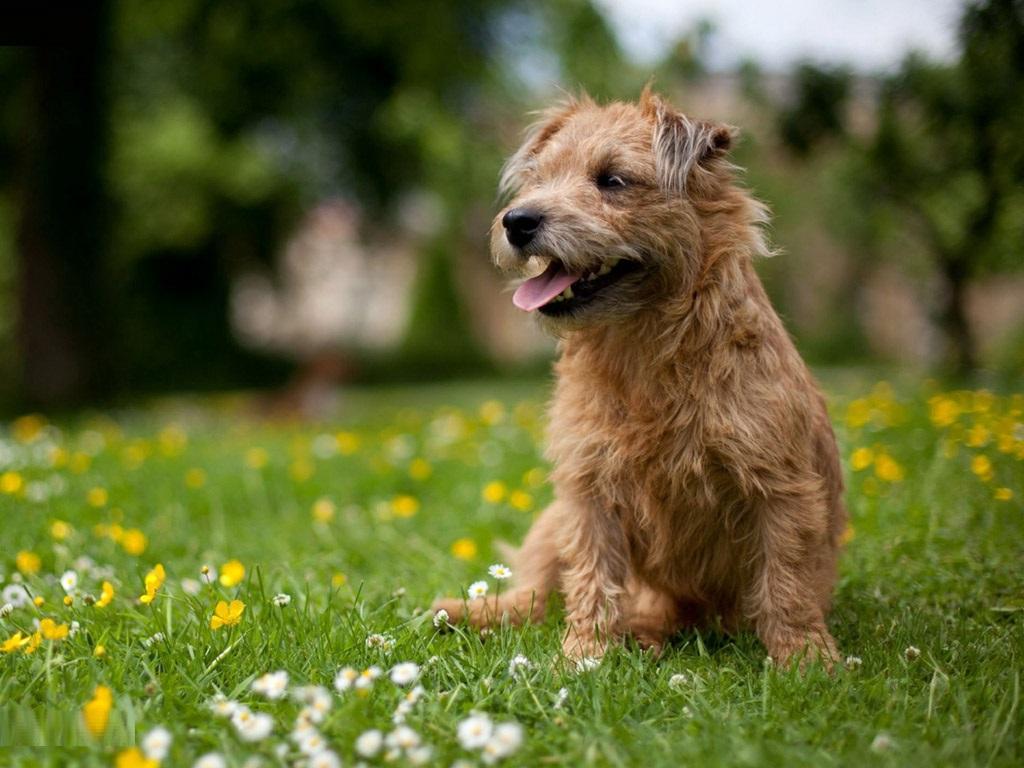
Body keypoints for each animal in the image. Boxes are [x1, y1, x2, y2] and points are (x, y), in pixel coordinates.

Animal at [430, 88, 839, 667]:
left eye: (612, 180)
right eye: (538, 178)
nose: (517, 220)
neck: (643, 351)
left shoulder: (780, 486)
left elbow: (787, 579)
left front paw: (806, 658)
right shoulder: (589, 490)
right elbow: (591, 578)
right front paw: (583, 655)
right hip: (551, 521)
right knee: (531, 596)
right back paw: (465, 613)